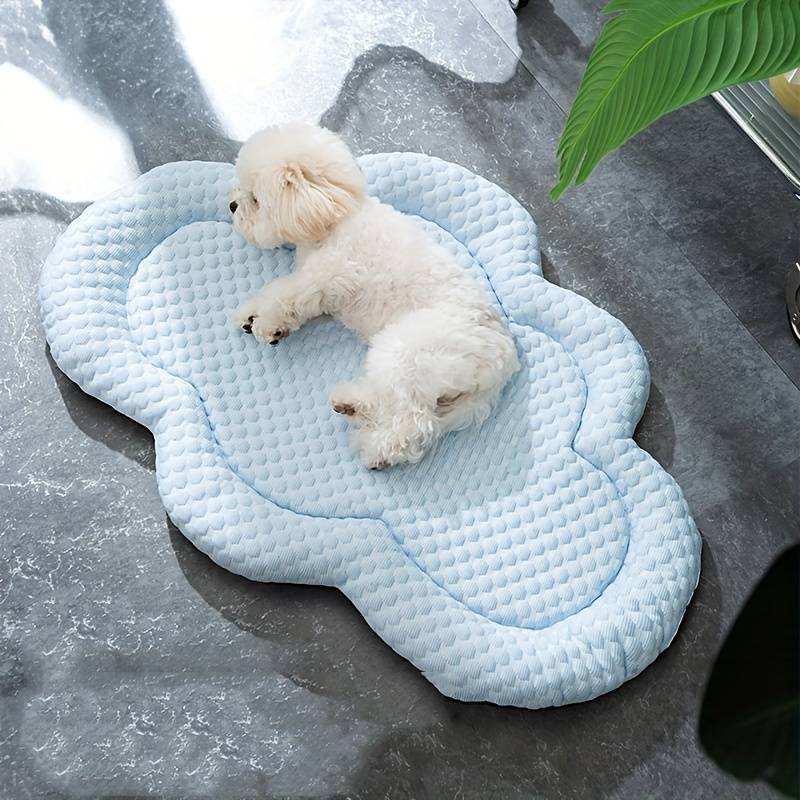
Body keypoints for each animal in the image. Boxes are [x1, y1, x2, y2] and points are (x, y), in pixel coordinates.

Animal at [231, 124, 520, 468]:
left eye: (256, 199)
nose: (231, 206)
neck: (337, 213)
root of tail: (504, 363)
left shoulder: (328, 275)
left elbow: (289, 295)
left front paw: (268, 324)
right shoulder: (321, 290)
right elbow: (280, 289)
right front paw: (250, 314)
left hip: (408, 352)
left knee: (414, 422)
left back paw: (377, 451)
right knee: (399, 405)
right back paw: (353, 403)